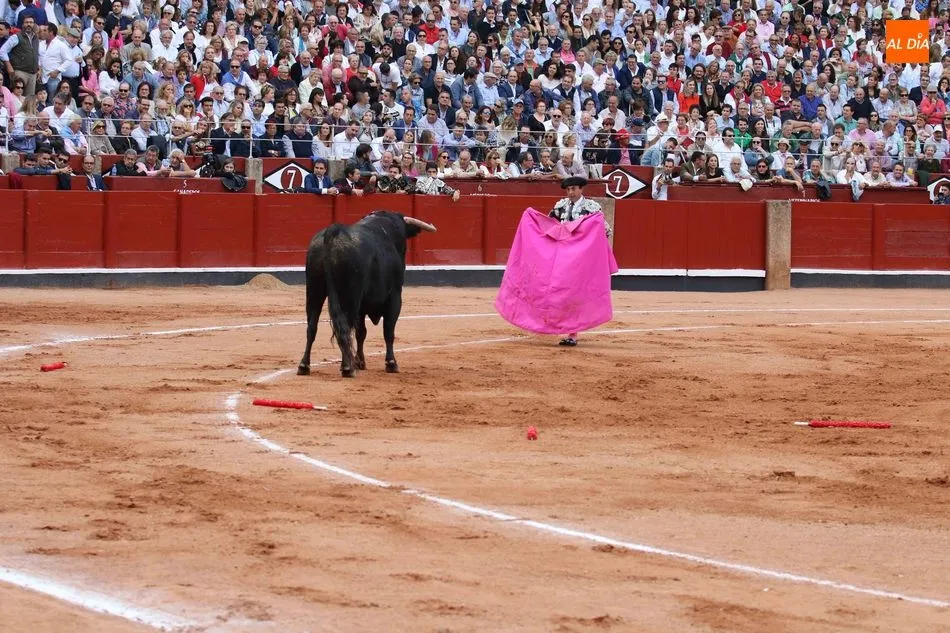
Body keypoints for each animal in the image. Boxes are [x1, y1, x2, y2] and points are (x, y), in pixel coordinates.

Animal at [297, 211, 437, 378]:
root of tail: (333, 233)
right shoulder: (395, 297)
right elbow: (388, 331)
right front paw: (391, 363)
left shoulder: (362, 306)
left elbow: (361, 333)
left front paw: (360, 362)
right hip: (350, 295)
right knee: (345, 328)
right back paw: (347, 367)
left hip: (314, 290)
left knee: (312, 326)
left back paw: (304, 365)